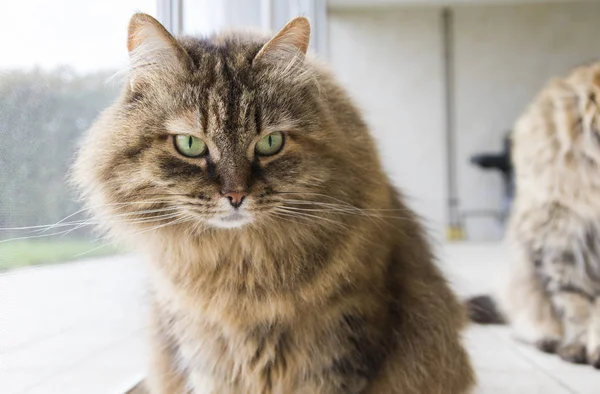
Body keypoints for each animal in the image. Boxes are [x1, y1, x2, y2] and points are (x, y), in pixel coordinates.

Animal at [71, 13, 474, 394]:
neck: (241, 269)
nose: (235, 196)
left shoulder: (340, 348)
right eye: (190, 144)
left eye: (270, 143)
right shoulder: (203, 352)